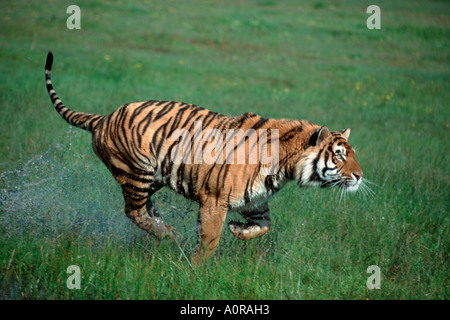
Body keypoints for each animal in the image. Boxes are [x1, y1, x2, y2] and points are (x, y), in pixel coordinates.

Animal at [44, 51, 362, 264]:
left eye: (352, 154)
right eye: (339, 156)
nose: (360, 176)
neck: (285, 166)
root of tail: (104, 117)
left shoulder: (255, 201)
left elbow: (264, 226)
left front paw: (238, 231)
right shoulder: (215, 200)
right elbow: (210, 239)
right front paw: (198, 270)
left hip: (152, 178)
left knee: (142, 209)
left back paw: (166, 229)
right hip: (136, 172)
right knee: (133, 211)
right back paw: (169, 234)